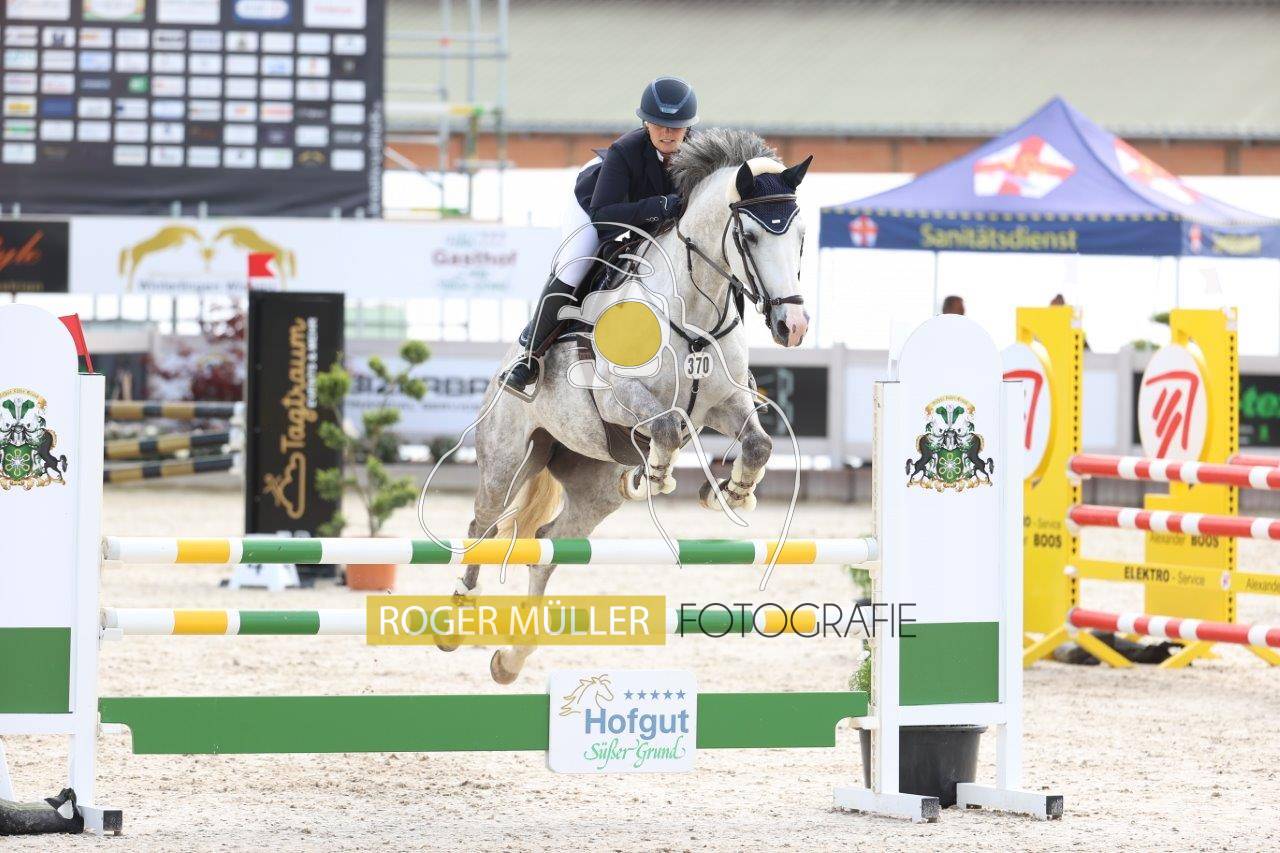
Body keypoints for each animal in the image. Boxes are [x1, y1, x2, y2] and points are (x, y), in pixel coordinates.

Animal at [430, 129, 813, 684]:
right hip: (507, 459)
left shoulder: (725, 404)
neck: (692, 314)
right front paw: (659, 476)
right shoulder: (619, 398)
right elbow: (669, 425)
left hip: (594, 485)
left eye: (800, 235)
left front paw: (732, 492)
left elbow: (758, 444)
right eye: (751, 237)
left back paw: (510, 659)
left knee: (546, 546)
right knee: (482, 528)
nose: (793, 327)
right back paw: (454, 624)